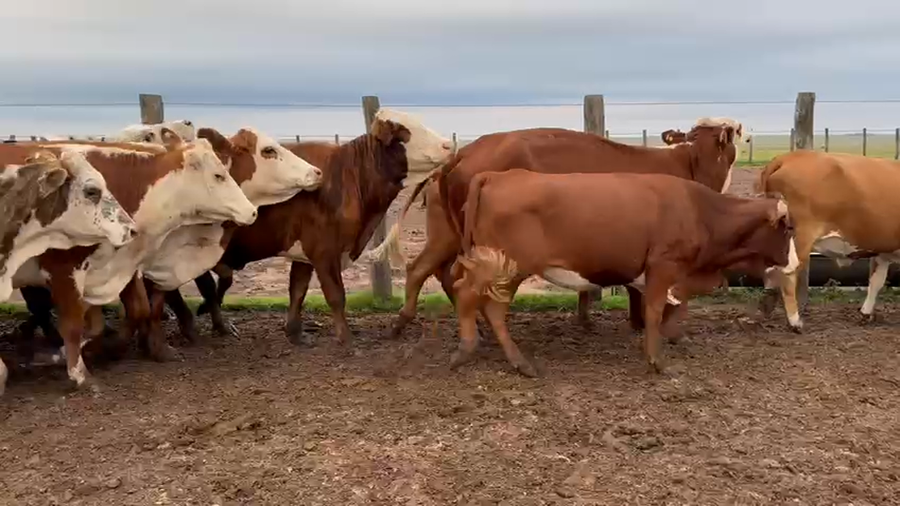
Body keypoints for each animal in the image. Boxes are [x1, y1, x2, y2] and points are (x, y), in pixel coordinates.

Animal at [162, 109, 454, 348]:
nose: (448, 145)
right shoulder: (324, 250)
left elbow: (298, 290)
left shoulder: (305, 254)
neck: (348, 177)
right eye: (406, 131)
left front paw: (295, 333)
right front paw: (345, 339)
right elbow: (335, 295)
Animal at [450, 170, 793, 376]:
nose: (789, 260)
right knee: (473, 298)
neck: (701, 211)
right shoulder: (664, 267)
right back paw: (478, 351)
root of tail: (500, 175)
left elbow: (667, 309)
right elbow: (655, 310)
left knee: (483, 304)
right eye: (789, 227)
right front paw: (657, 361)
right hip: (506, 265)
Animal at [755, 150, 900, 331]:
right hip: (799, 239)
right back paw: (795, 321)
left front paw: (865, 313)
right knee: (788, 275)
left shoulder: (882, 250)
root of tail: (789, 157)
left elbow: (876, 281)